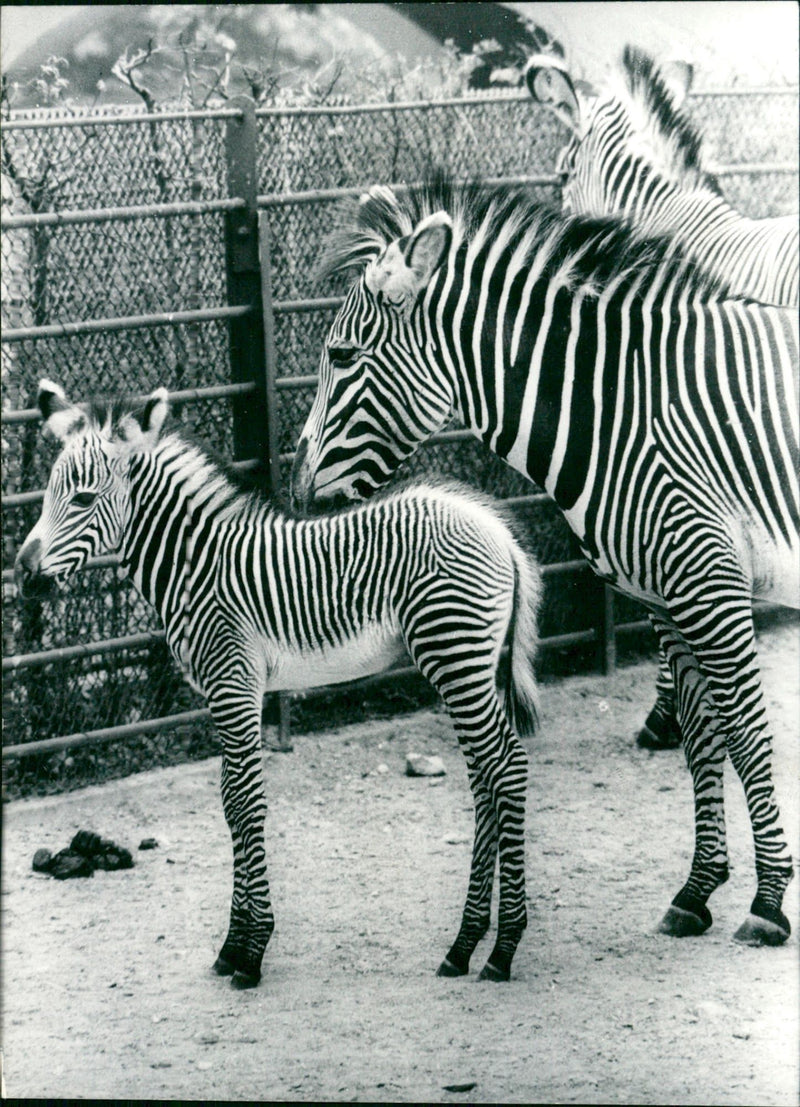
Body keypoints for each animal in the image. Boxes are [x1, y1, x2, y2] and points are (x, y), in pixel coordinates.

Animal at [14, 380, 542, 988]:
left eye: (81, 499)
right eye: (48, 494)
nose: (22, 575)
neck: (195, 564)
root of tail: (497, 529)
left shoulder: (233, 682)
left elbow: (245, 803)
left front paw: (249, 951)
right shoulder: (225, 692)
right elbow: (230, 803)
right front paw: (233, 946)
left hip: (455, 654)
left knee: (507, 768)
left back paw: (502, 949)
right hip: (467, 664)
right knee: (486, 776)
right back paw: (464, 945)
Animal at [290, 174, 799, 950]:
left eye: (343, 356)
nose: (296, 489)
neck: (623, 410)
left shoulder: (709, 583)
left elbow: (747, 733)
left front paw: (768, 901)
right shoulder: (668, 599)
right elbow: (702, 738)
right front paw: (697, 890)